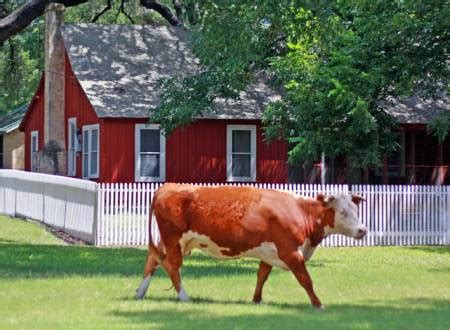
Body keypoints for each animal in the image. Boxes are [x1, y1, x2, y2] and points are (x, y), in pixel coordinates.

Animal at [135, 184, 368, 308]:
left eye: (356, 210)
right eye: (343, 212)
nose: (362, 230)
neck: (300, 212)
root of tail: (168, 186)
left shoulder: (270, 253)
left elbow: (261, 276)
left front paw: (256, 300)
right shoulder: (291, 252)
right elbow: (306, 280)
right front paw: (318, 304)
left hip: (171, 242)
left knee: (152, 260)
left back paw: (140, 293)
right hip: (173, 240)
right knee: (172, 267)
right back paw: (184, 297)